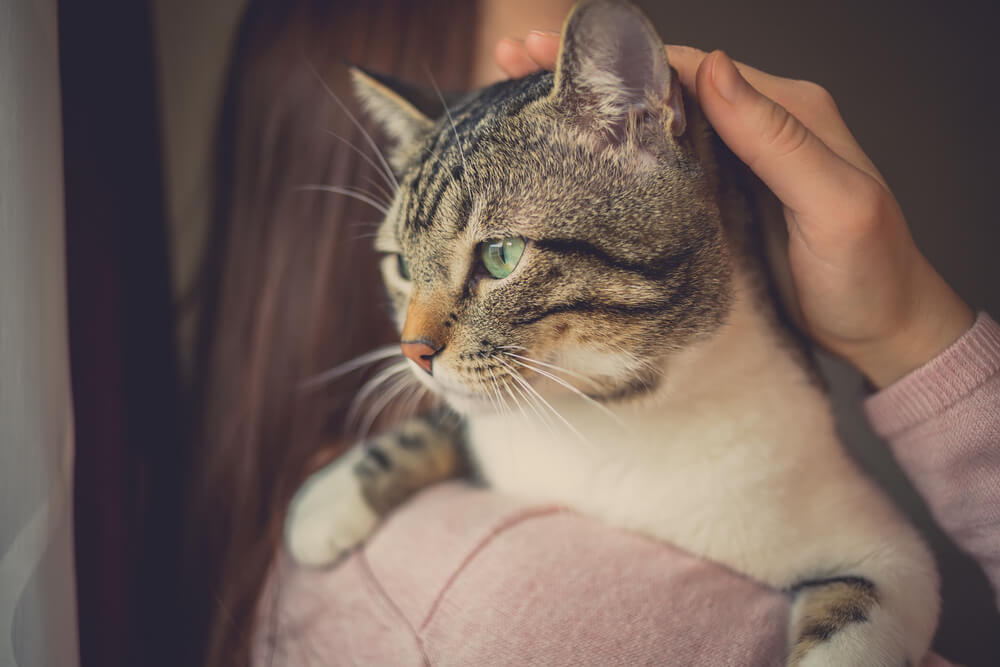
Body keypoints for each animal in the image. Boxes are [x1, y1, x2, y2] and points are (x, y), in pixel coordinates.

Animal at [286, 2, 940, 664]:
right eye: (399, 265)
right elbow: (454, 425)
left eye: (500, 256)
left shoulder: (888, 550)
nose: (413, 352)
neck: (607, 419)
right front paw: (327, 500)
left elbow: (853, 620)